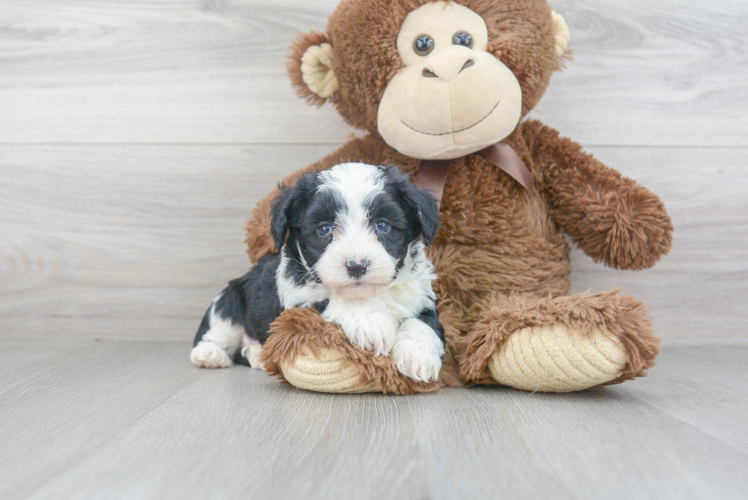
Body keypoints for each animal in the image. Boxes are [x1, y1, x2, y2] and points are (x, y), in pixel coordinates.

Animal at [190, 164, 444, 382]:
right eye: (324, 229)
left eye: (382, 225)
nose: (356, 266)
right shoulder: (297, 303)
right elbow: (333, 300)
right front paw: (370, 321)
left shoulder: (421, 296)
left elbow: (424, 322)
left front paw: (417, 354)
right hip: (228, 301)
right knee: (217, 329)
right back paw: (210, 354)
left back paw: (256, 354)